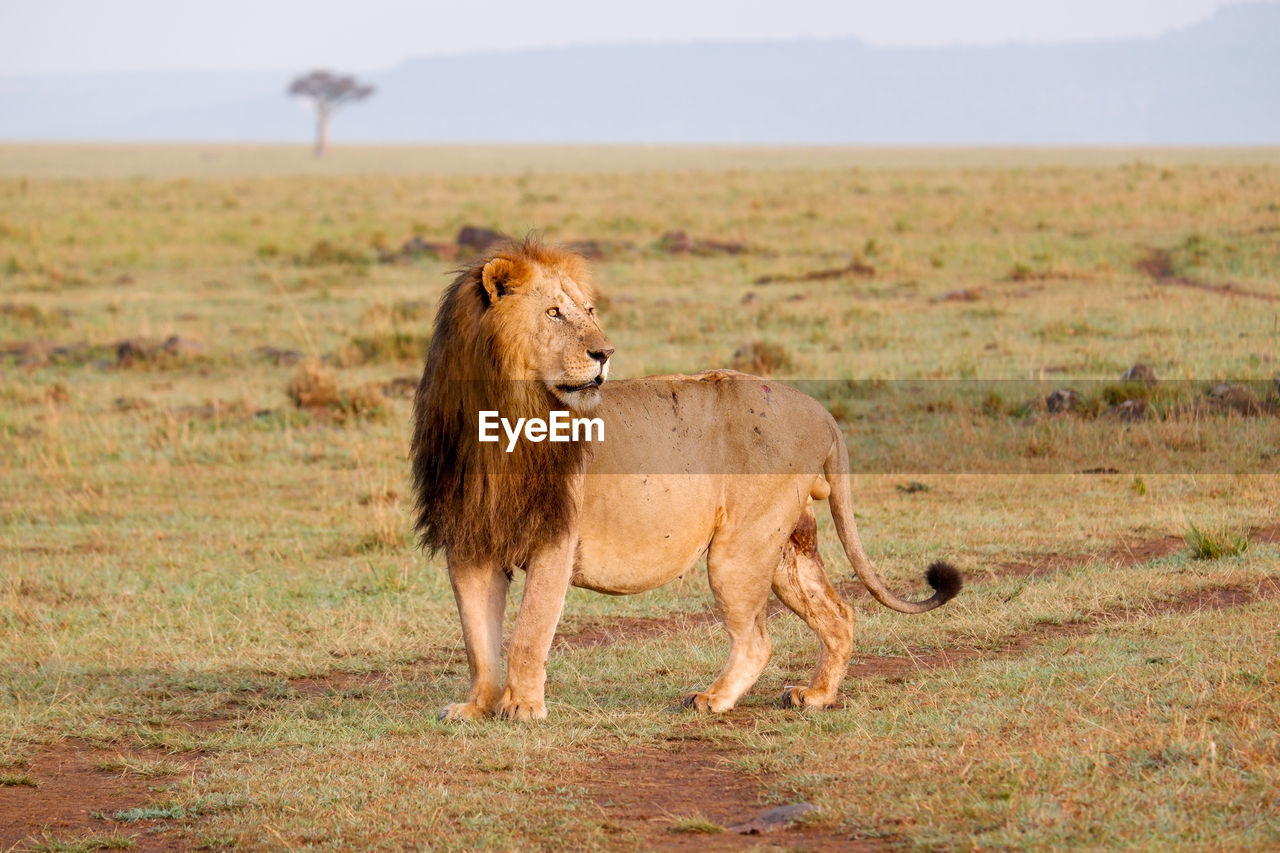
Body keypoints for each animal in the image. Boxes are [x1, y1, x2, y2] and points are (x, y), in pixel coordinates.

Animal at [409, 234, 962, 717]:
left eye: (588, 311)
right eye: (553, 313)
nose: (604, 354)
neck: (501, 414)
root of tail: (819, 410)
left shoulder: (555, 538)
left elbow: (529, 631)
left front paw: (523, 708)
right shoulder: (469, 542)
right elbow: (477, 639)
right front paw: (476, 708)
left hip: (740, 548)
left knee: (757, 638)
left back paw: (712, 699)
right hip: (787, 547)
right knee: (839, 615)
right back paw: (816, 695)